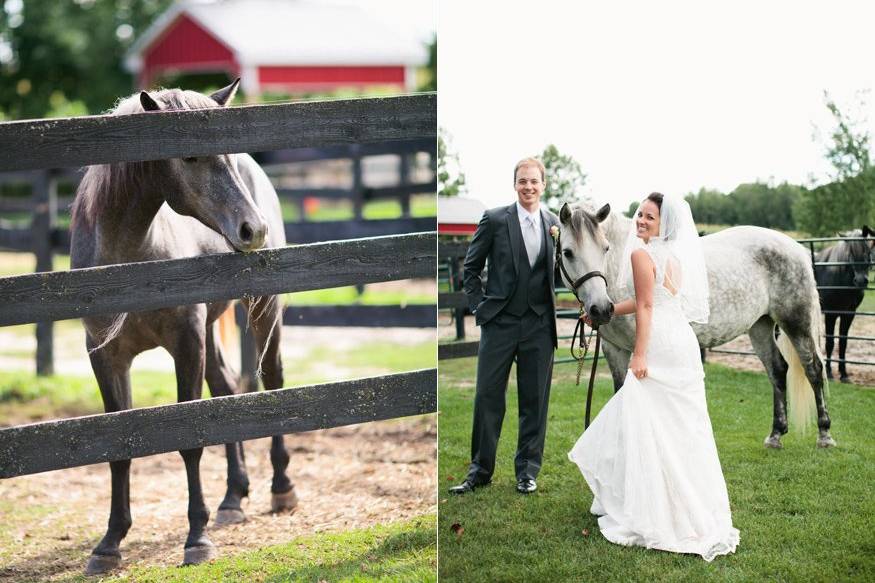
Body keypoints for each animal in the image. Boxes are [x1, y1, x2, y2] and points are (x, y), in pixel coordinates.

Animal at [68, 81, 294, 576]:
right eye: (189, 157)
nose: (252, 229)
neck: (130, 258)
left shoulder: (186, 345)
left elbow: (190, 440)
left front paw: (197, 539)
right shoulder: (105, 356)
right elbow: (118, 448)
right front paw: (109, 544)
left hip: (263, 310)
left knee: (272, 381)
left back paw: (281, 487)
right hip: (210, 331)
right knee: (227, 389)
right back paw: (233, 498)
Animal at [556, 203, 840, 450]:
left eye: (605, 248)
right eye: (568, 252)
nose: (601, 309)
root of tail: (795, 247)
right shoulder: (614, 349)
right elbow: (621, 393)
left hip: (796, 322)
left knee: (813, 368)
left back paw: (824, 435)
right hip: (760, 326)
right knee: (778, 370)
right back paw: (775, 435)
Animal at [816, 227, 875, 384]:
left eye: (867, 252)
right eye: (851, 254)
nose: (860, 281)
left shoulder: (849, 314)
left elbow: (843, 343)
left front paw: (844, 374)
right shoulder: (830, 314)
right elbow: (830, 342)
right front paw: (829, 373)